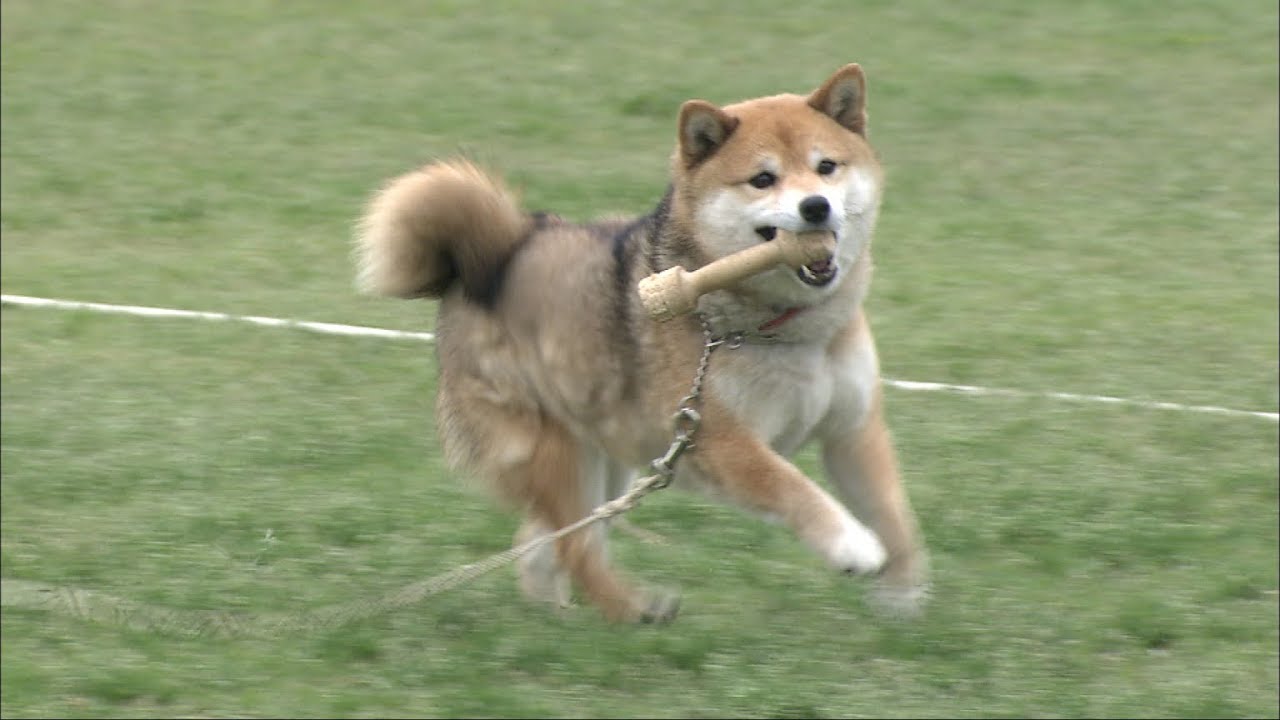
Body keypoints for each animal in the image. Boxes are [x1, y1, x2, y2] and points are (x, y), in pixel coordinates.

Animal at [355, 63, 926, 622]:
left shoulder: (852, 427)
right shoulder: (721, 441)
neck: (786, 329)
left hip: (606, 458)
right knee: (576, 548)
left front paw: (904, 592)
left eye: (827, 166)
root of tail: (485, 265)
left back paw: (560, 618)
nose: (816, 207)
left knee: (546, 541)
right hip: (558, 451)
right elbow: (792, 488)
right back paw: (634, 610)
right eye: (763, 179)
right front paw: (853, 546)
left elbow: (892, 508)